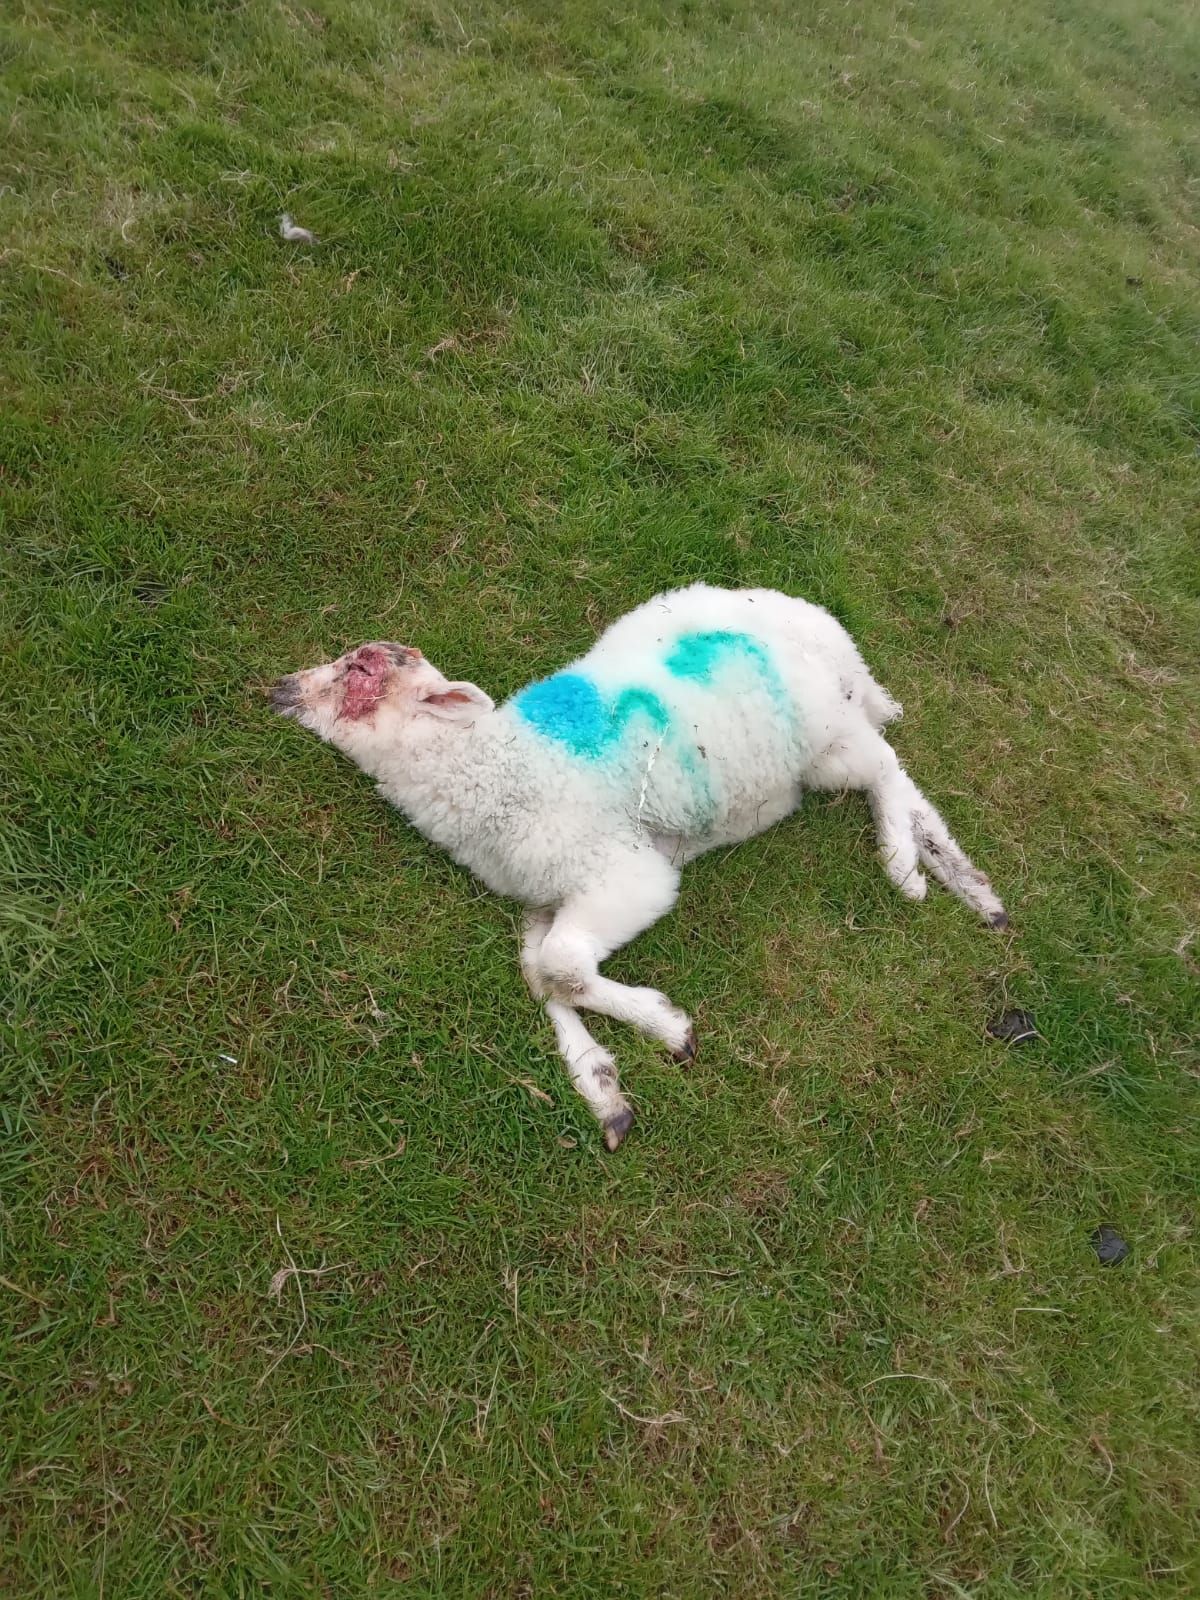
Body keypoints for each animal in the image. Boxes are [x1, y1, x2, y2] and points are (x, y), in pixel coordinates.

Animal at [271, 583, 1007, 1148]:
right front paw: (602, 1087)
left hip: (824, 739)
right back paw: (969, 887)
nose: (280, 687)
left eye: (361, 671)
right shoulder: (541, 895)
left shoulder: (626, 874)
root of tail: (830, 634)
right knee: (896, 770)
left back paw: (906, 869)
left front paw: (669, 1029)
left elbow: (562, 965)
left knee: (883, 766)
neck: (490, 768)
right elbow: (539, 973)